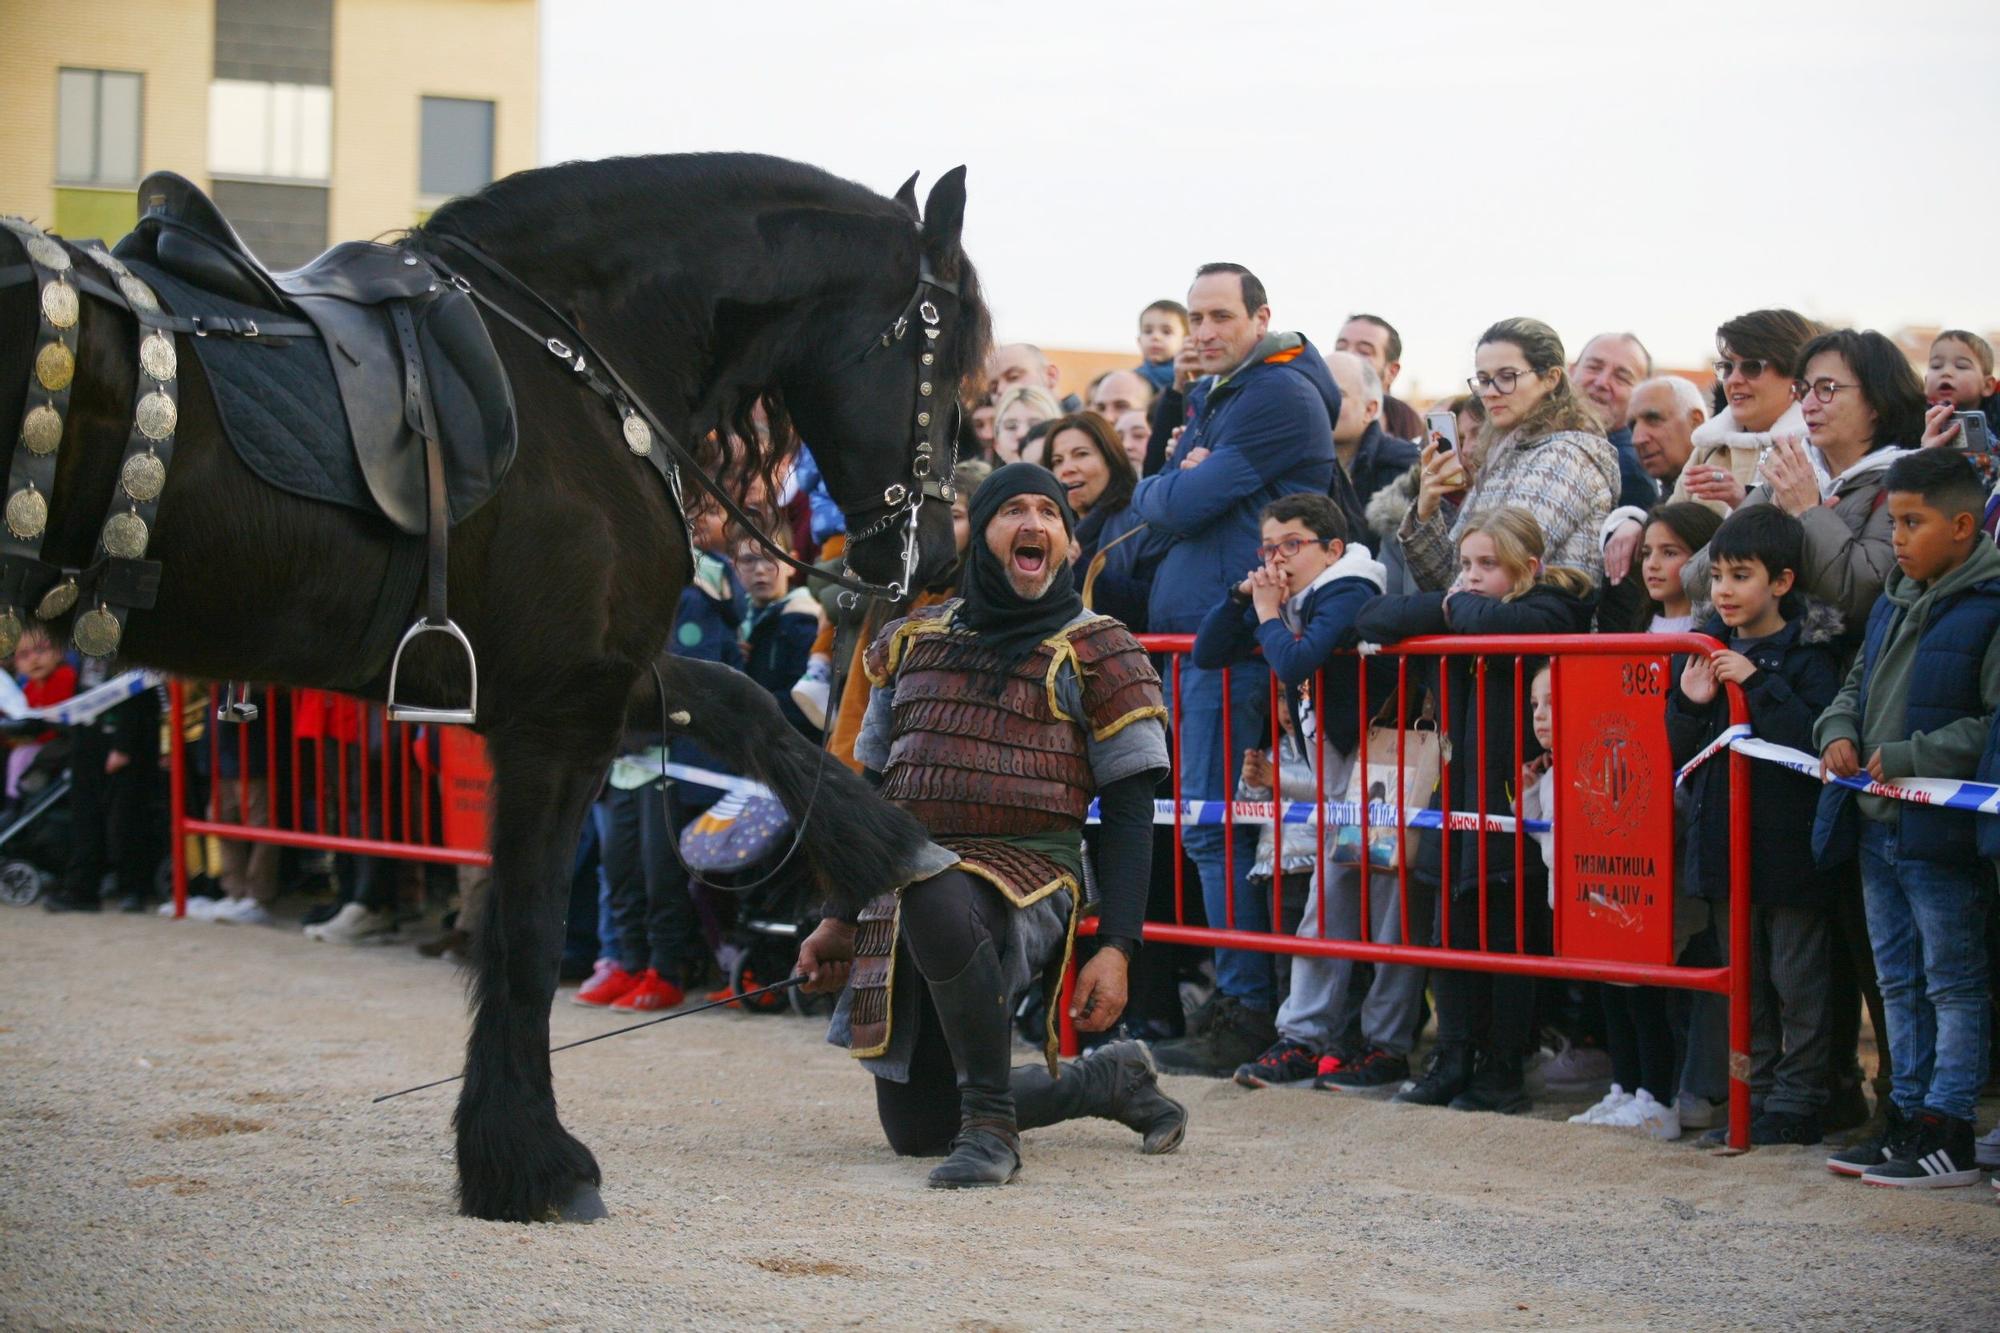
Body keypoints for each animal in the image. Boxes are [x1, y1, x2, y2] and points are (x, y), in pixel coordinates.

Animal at [0, 153, 984, 1216]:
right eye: (946, 361)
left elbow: (743, 701)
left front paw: (884, 841)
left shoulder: (573, 678)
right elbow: (526, 932)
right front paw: (528, 1157)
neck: (571, 361)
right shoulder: (561, 711)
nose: (937, 553)